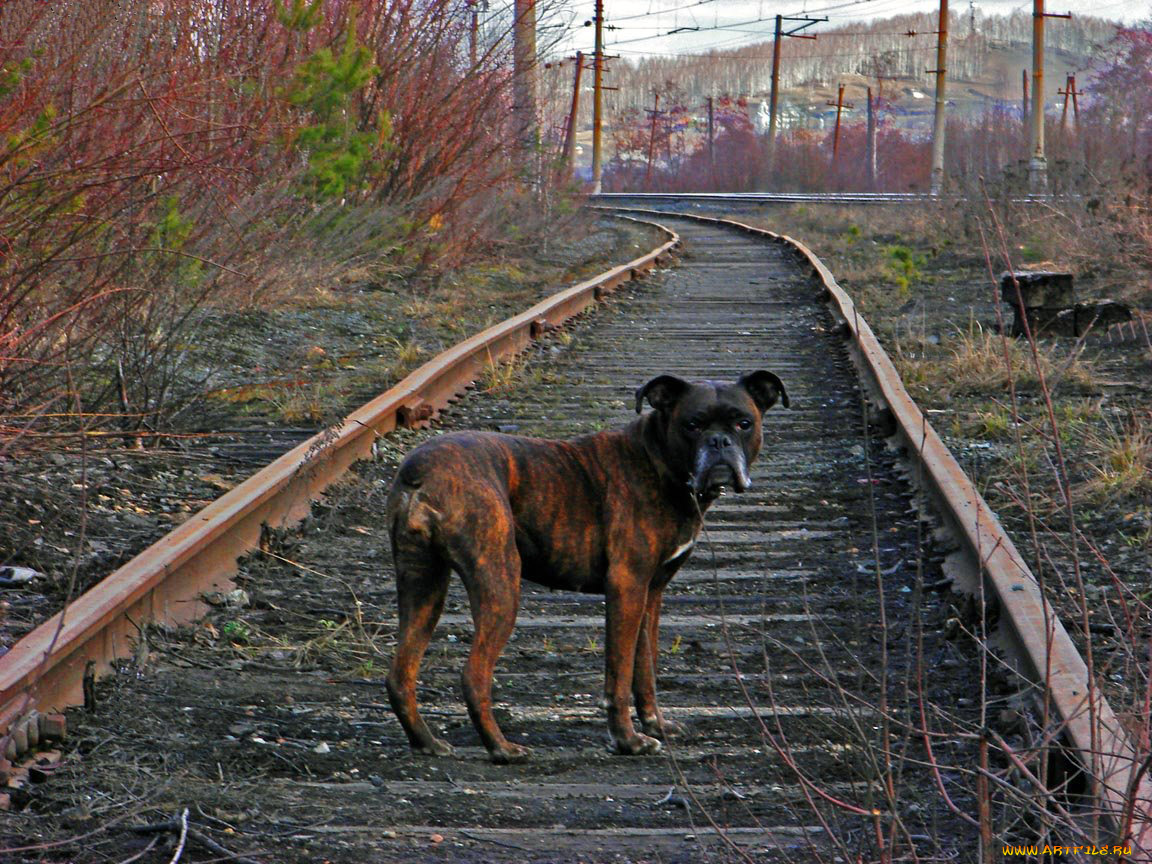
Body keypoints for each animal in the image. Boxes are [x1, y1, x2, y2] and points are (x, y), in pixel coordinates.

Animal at [382, 373, 787, 764]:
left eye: (744, 423)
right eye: (692, 424)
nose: (719, 441)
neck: (657, 459)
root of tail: (420, 471)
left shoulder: (650, 595)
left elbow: (645, 667)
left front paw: (654, 725)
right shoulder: (627, 588)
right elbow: (619, 675)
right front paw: (628, 741)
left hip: (423, 588)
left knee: (401, 674)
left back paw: (427, 742)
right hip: (500, 585)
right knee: (474, 674)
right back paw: (501, 748)